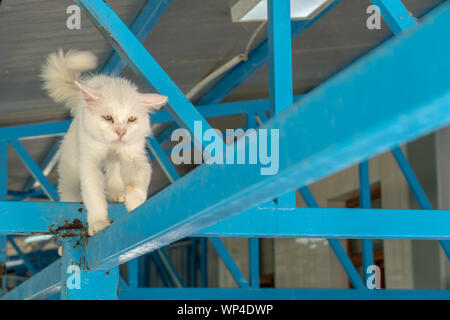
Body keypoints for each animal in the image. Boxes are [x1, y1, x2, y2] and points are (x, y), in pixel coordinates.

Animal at [40, 49, 167, 235]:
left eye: (131, 119)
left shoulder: (135, 156)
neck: (110, 146)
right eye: (108, 118)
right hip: (70, 171)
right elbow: (94, 196)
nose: (121, 132)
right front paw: (98, 223)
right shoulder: (89, 163)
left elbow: (139, 182)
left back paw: (117, 193)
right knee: (69, 191)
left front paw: (134, 202)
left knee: (114, 174)